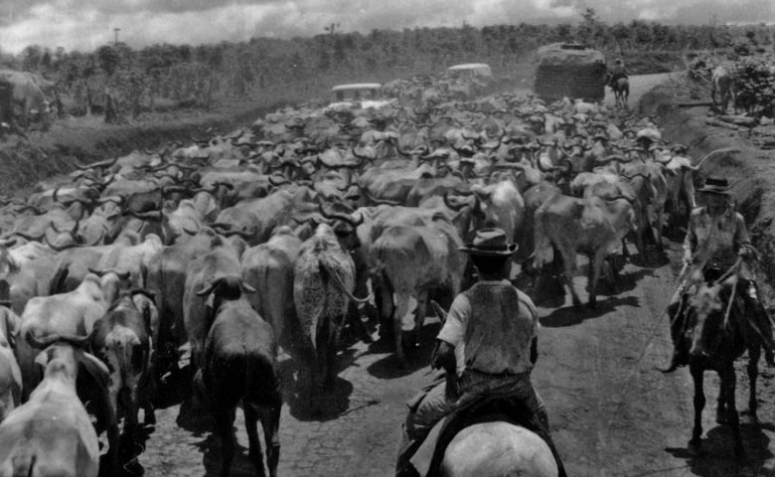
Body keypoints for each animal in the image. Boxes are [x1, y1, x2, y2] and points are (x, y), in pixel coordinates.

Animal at [194, 276, 282, 476]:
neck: (234, 303)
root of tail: (248, 352)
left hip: (225, 401)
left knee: (229, 447)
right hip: (272, 400)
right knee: (273, 446)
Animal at [664, 278, 760, 460]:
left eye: (718, 313)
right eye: (690, 311)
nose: (697, 353)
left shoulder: (728, 370)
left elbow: (733, 412)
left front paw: (739, 450)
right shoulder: (697, 369)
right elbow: (698, 401)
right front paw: (695, 441)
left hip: (753, 345)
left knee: (752, 372)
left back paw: (752, 413)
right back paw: (720, 410)